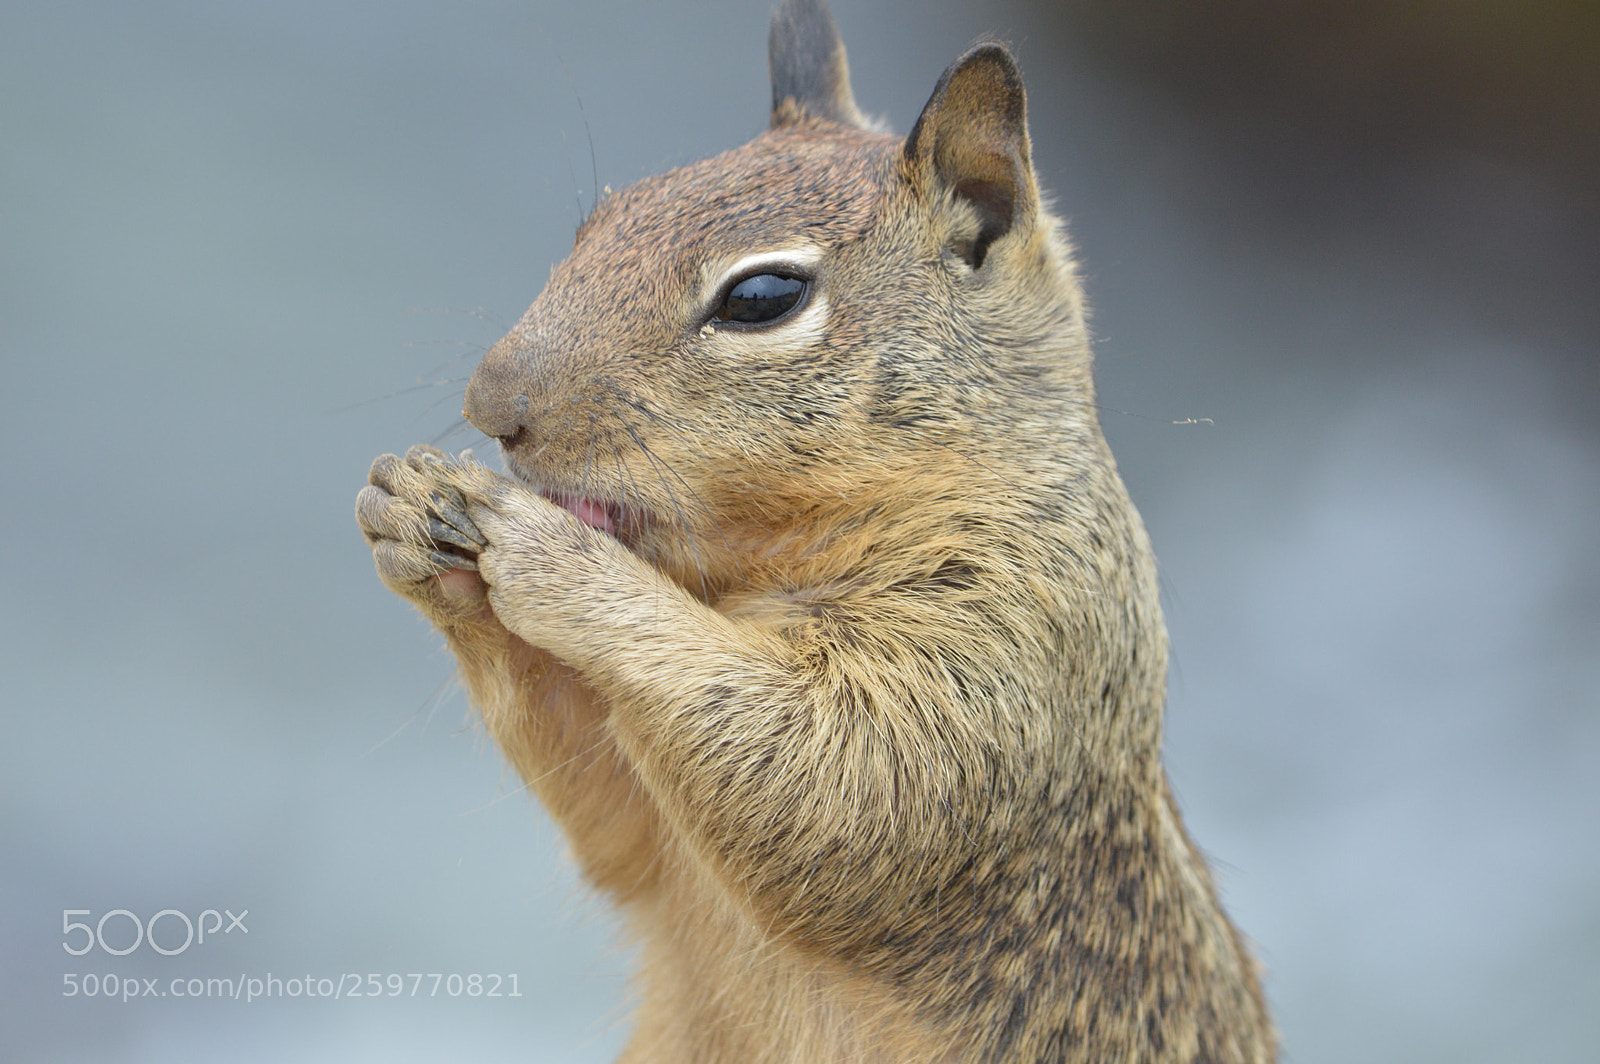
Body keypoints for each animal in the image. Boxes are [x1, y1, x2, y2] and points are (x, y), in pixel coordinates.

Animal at [355, 1, 1276, 1060]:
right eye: (598, 223)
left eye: (762, 298)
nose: (490, 407)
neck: (755, 569)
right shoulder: (662, 849)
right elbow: (617, 819)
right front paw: (413, 512)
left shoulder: (1017, 639)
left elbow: (837, 783)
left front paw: (554, 556)